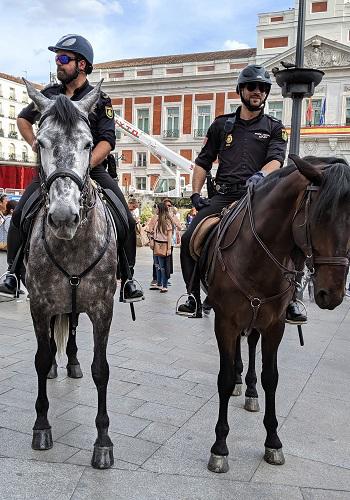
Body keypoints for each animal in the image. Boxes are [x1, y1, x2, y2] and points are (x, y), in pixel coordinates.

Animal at [205, 157, 350, 472]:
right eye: (320, 217)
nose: (332, 294)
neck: (256, 256)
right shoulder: (225, 322)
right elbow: (223, 378)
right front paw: (220, 446)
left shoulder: (274, 325)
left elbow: (271, 377)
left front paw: (273, 441)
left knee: (249, 345)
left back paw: (248, 389)